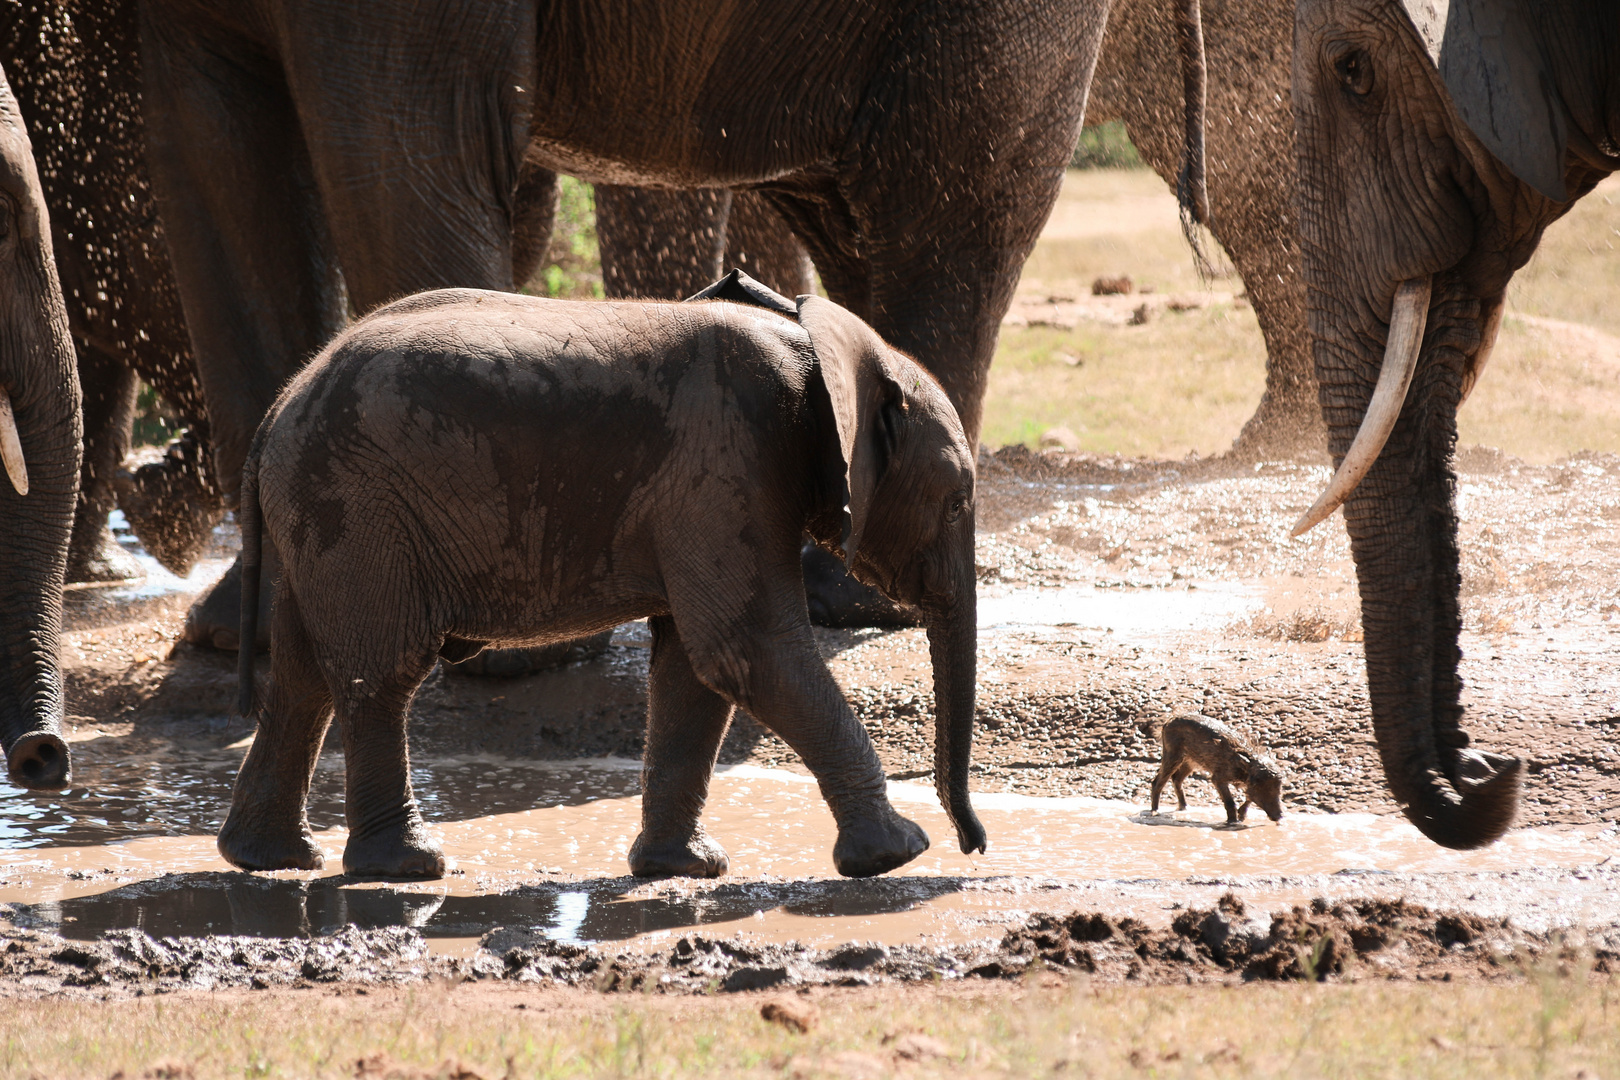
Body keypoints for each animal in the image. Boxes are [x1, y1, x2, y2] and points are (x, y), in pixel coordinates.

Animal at [225, 275, 984, 880]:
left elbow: (696, 668)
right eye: (955, 503)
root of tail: (278, 409)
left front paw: (682, 871)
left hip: (320, 513)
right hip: (357, 503)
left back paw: (272, 859)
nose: (974, 845)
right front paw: (898, 854)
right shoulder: (732, 459)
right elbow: (747, 648)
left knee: (302, 678)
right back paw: (407, 868)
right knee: (381, 673)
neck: (817, 349)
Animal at [1146, 718, 1283, 829]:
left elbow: (1248, 796)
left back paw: (1185, 808)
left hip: (1190, 762)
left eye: (1279, 788)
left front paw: (1241, 817)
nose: (1280, 817)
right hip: (1172, 755)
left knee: (1176, 779)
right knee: (1158, 781)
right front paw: (1233, 823)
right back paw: (1155, 812)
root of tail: (1167, 722)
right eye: (1259, 786)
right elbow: (1230, 802)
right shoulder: (1218, 778)